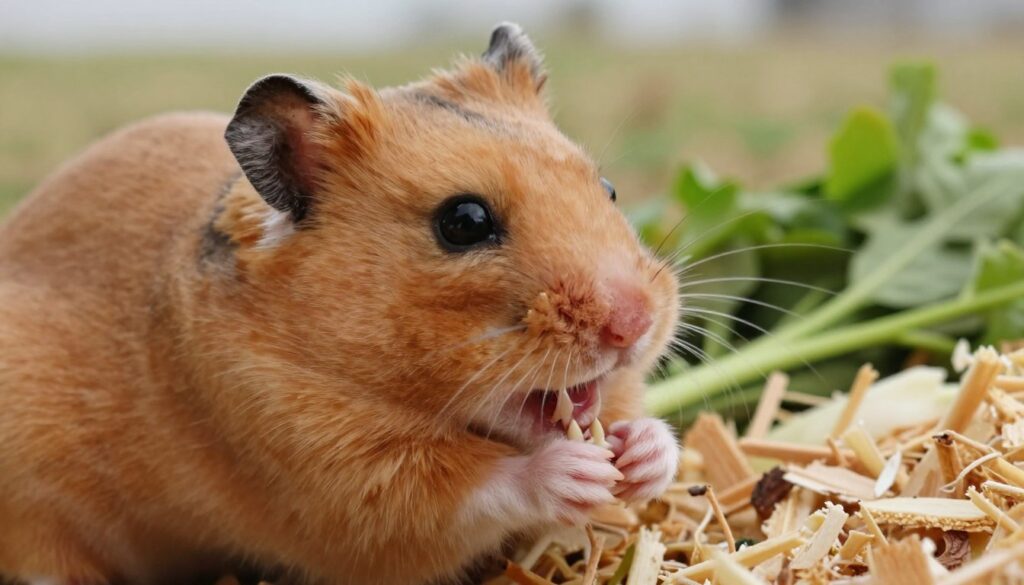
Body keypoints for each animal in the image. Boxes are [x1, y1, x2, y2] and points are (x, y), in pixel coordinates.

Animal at [0, 23, 680, 585]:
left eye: (609, 189)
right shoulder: (346, 483)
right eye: (463, 222)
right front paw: (578, 470)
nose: (635, 324)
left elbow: (645, 428)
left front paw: (639, 454)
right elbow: (476, 484)